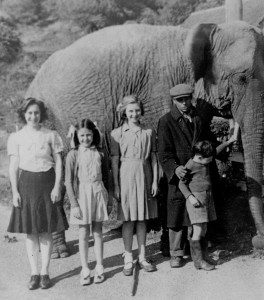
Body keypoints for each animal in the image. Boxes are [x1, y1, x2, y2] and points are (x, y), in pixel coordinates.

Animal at [25, 21, 264, 248]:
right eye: (241, 79)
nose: (258, 240)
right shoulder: (159, 96)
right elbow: (162, 161)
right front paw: (173, 243)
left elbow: (205, 155)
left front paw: (213, 238)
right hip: (51, 121)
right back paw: (61, 250)